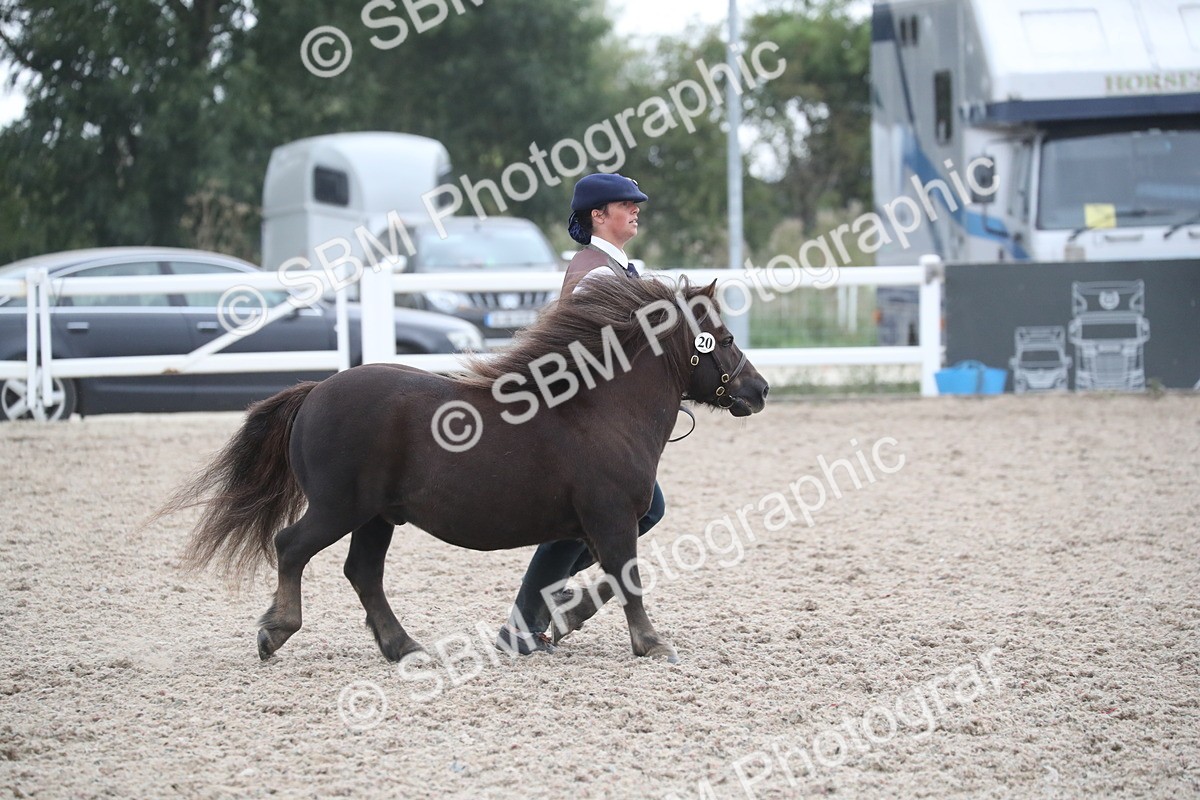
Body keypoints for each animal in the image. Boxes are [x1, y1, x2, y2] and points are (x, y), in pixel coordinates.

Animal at [160, 276, 769, 663]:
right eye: (726, 337)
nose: (759, 389)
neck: (598, 409)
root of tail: (315, 392)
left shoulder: (591, 524)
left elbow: (596, 575)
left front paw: (560, 619)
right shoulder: (612, 517)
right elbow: (628, 577)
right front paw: (651, 643)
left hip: (376, 518)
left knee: (363, 574)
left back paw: (403, 648)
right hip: (339, 508)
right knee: (291, 547)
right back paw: (277, 631)